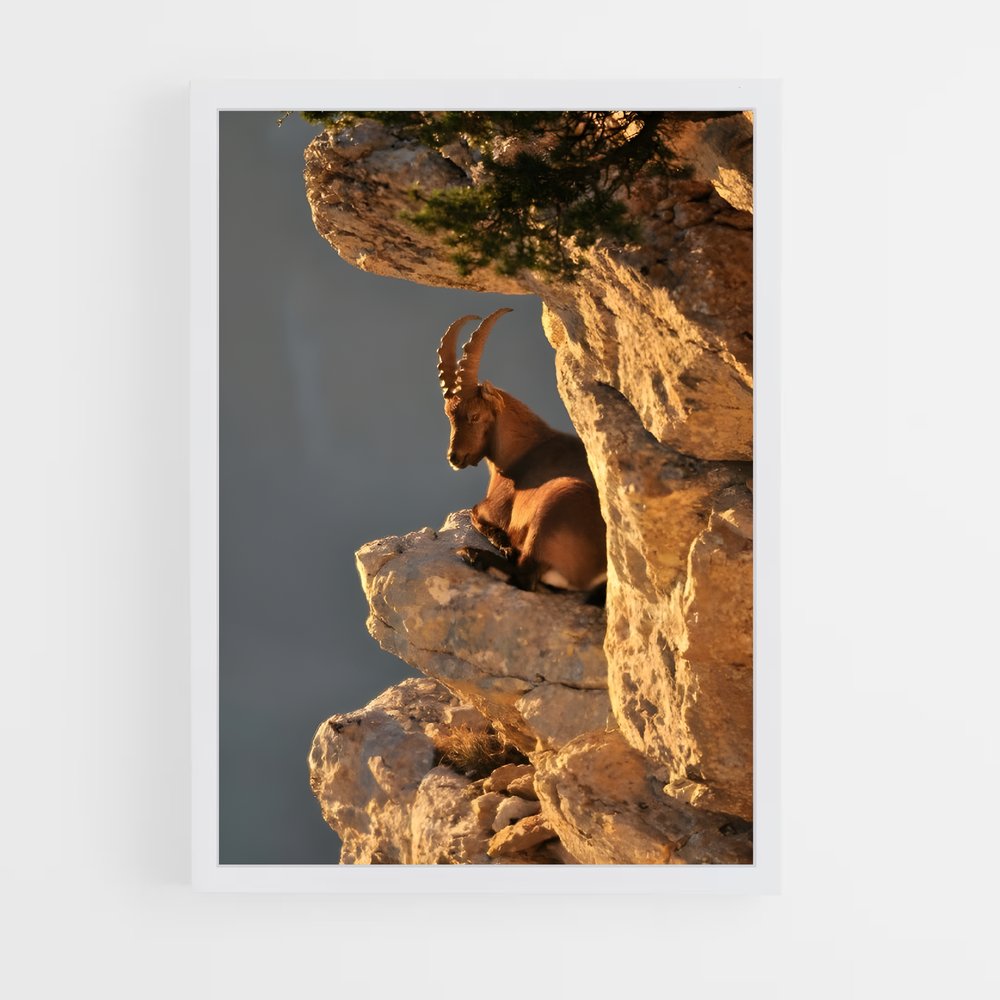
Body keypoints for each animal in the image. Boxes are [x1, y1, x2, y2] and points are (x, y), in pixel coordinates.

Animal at [437, 307, 607, 600]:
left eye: (474, 415)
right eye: (449, 415)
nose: (454, 457)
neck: (523, 450)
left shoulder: (492, 507)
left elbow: (475, 513)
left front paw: (503, 543)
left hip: (552, 509)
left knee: (525, 576)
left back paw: (472, 554)